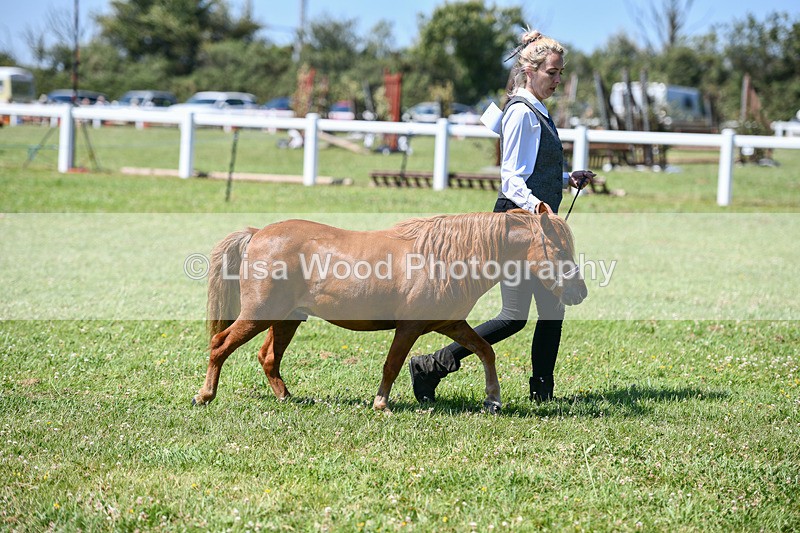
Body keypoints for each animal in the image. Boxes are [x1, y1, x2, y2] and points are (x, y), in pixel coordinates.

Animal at [192, 208, 587, 413]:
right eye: (559, 251)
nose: (579, 292)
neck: (442, 257)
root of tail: (258, 233)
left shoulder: (452, 324)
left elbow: (485, 350)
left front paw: (493, 399)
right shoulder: (409, 327)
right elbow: (392, 363)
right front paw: (381, 402)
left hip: (287, 318)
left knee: (268, 357)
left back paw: (287, 397)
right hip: (260, 314)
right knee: (220, 344)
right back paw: (205, 395)